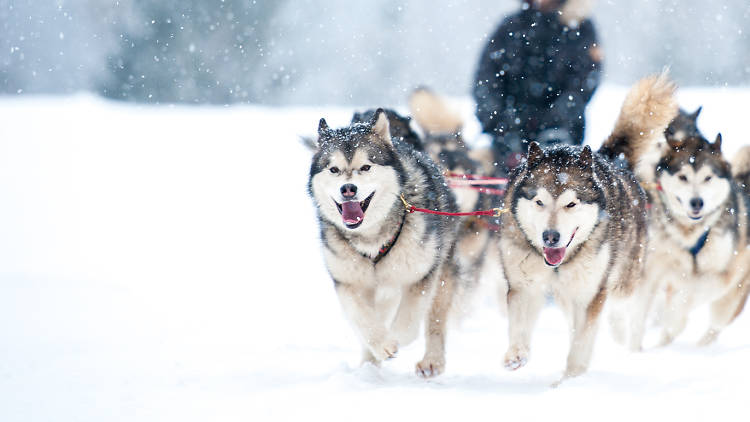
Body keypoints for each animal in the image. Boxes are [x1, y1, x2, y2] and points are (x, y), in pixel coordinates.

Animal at [306, 108, 464, 376]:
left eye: (366, 166)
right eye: (334, 169)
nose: (348, 189)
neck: (371, 237)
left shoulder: (422, 275)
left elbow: (409, 322)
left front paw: (396, 338)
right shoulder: (347, 282)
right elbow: (363, 319)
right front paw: (381, 345)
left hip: (442, 272)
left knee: (435, 319)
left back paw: (432, 360)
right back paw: (369, 365)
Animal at [500, 73, 680, 382]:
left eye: (571, 204)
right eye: (539, 201)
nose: (550, 237)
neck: (558, 264)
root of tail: (606, 157)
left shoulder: (590, 293)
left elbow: (582, 341)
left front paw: (572, 378)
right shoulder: (524, 284)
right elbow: (521, 323)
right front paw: (517, 354)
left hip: (621, 279)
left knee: (620, 306)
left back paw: (622, 336)